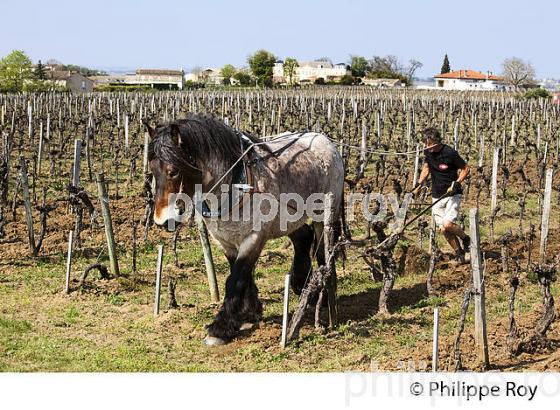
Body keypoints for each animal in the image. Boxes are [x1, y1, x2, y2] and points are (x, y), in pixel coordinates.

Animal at [144, 113, 346, 344]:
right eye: (152, 170)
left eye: (173, 171)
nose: (162, 221)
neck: (236, 185)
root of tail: (325, 140)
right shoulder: (224, 240)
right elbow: (241, 274)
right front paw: (249, 312)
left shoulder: (254, 237)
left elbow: (236, 279)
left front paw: (221, 328)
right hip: (288, 216)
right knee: (303, 237)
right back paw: (301, 283)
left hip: (325, 215)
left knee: (322, 252)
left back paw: (322, 294)